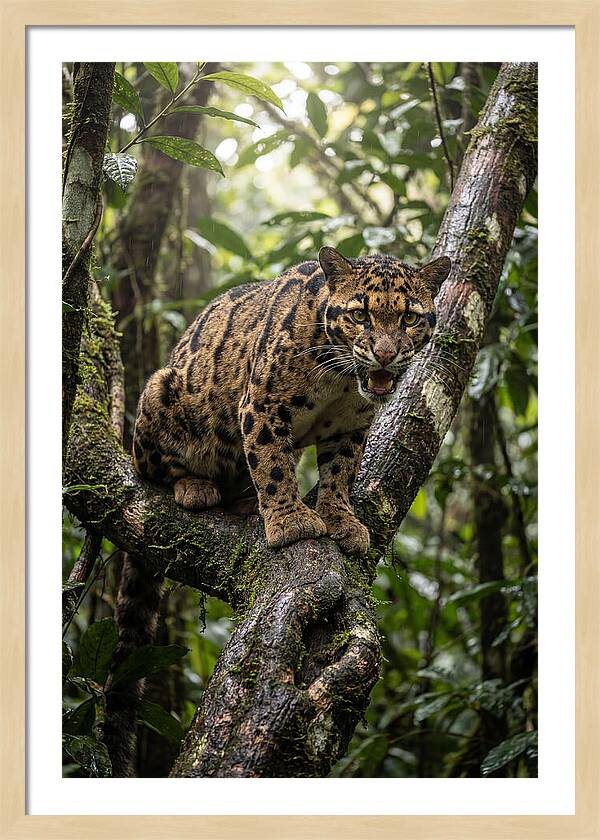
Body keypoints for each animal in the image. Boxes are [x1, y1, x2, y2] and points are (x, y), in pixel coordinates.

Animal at [132, 246, 451, 556]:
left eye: (409, 318)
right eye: (360, 316)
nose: (385, 354)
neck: (340, 379)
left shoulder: (351, 425)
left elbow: (341, 472)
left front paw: (341, 518)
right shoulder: (262, 405)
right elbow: (272, 465)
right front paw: (290, 521)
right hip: (160, 388)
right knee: (155, 471)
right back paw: (195, 486)